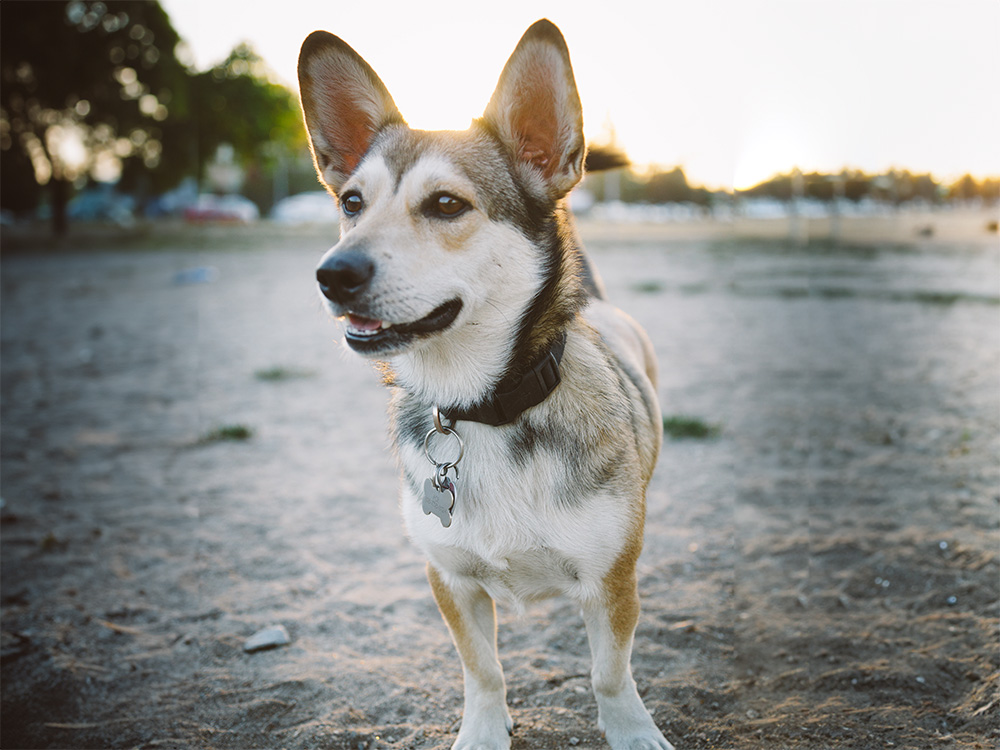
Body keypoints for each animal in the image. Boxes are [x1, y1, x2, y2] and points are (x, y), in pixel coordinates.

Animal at [296, 17, 672, 750]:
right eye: (352, 203)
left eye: (446, 204)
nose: (332, 274)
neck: (485, 408)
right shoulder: (449, 579)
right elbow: (483, 672)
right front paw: (482, 732)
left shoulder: (610, 581)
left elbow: (610, 674)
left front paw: (632, 731)